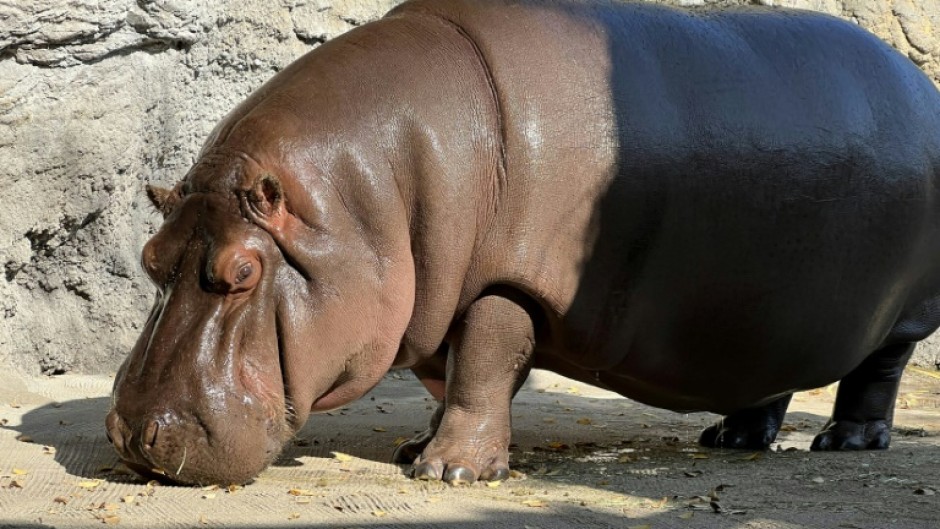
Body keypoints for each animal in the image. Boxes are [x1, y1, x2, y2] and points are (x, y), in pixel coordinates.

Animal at [106, 0, 940, 486]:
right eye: (149, 259)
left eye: (243, 271)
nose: (133, 433)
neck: (369, 195)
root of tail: (923, 86)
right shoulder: (439, 292)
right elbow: (453, 380)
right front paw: (416, 449)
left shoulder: (503, 283)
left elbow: (481, 366)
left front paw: (447, 473)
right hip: (773, 313)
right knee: (771, 373)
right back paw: (730, 438)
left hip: (903, 317)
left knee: (876, 371)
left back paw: (846, 442)